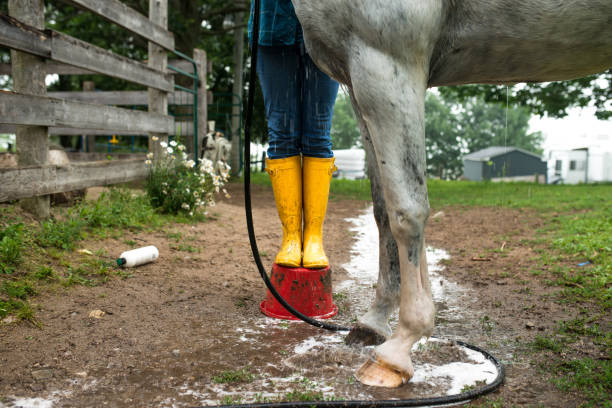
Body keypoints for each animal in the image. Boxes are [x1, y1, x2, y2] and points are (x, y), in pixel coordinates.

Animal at [292, 0, 612, 388]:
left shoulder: (385, 62)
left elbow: (407, 210)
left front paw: (399, 347)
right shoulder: (358, 80)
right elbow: (383, 209)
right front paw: (375, 321)